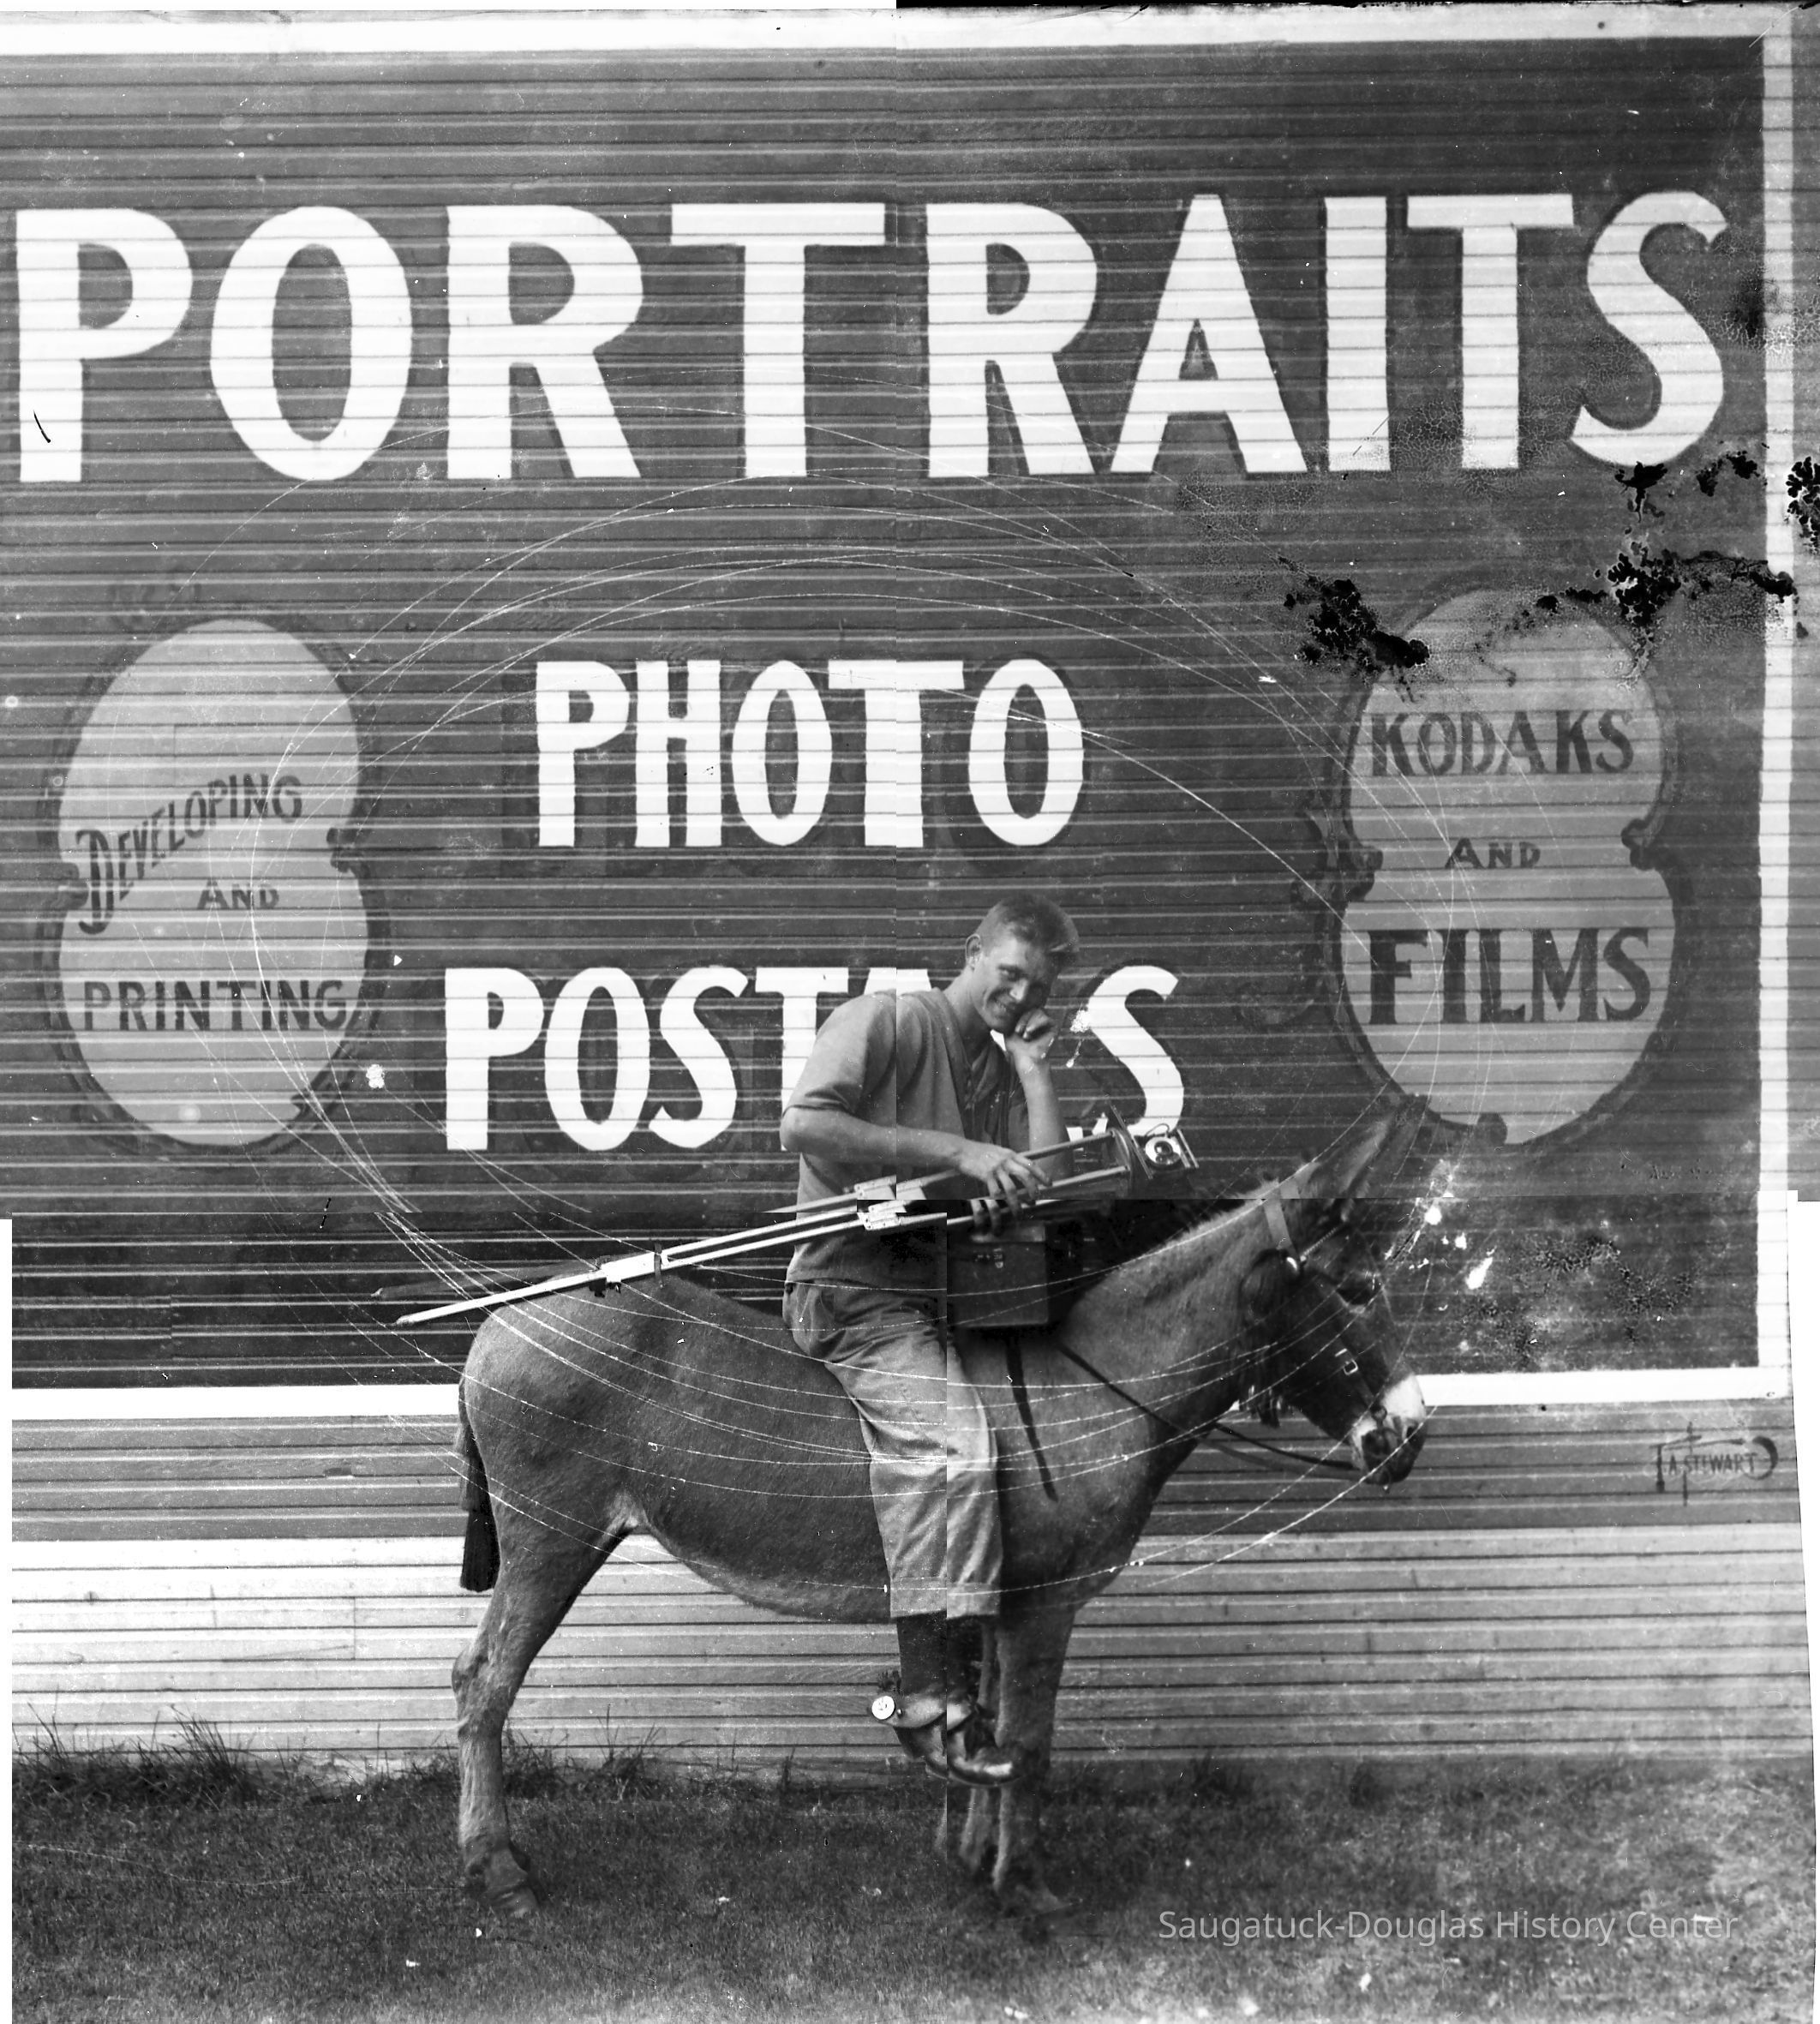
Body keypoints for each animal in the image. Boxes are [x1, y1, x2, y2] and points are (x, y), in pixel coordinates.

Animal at [449, 1114, 1429, 1922]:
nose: (1411, 1435)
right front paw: (1025, 1888)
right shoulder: (1047, 1604)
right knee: (484, 1683)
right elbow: (1029, 1743)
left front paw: (969, 1856)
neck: (1092, 1387)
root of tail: (493, 1328)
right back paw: (499, 1871)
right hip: (553, 1538)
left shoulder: (997, 1591)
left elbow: (987, 1718)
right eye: (1357, 1288)